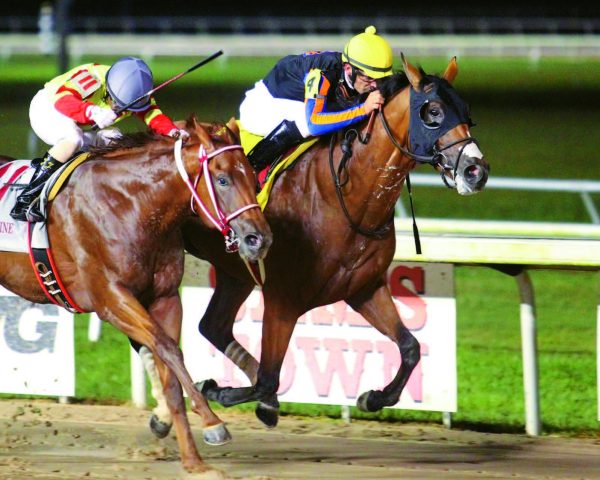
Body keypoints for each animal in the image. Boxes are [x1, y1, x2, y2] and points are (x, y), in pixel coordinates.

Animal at [0, 117, 272, 475]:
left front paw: (192, 458)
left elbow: (167, 362)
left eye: (253, 177)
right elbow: (168, 350)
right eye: (223, 178)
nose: (259, 238)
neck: (131, 204)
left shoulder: (164, 298)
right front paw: (212, 422)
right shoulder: (110, 299)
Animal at [142, 54, 490, 432]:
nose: (476, 171)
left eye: (466, 110)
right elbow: (268, 379)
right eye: (433, 112)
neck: (347, 198)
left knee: (212, 325)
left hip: (236, 270)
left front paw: (373, 397)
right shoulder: (282, 299)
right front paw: (218, 389)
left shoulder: (364, 288)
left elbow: (410, 347)